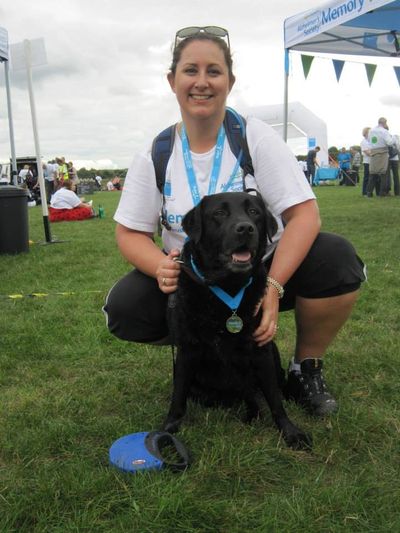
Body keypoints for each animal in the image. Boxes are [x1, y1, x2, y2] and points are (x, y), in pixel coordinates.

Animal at [163, 191, 312, 448]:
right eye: (219, 213)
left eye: (254, 212)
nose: (245, 228)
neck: (227, 286)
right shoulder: (187, 350)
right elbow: (178, 395)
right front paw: (168, 428)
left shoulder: (260, 349)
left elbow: (274, 399)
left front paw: (290, 431)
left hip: (271, 353)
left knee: (258, 393)